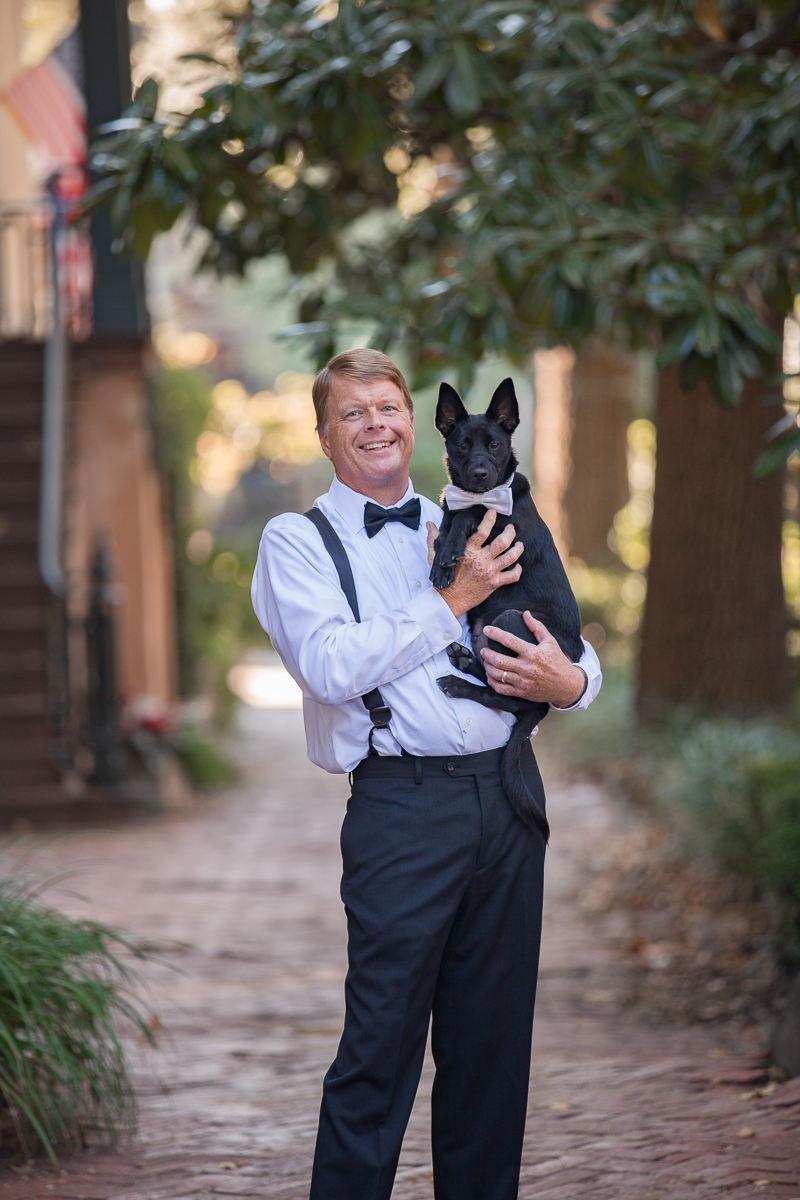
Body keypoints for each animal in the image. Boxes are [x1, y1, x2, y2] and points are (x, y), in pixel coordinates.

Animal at [431, 379, 582, 840]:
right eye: (463, 445)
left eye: (495, 445)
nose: (480, 475)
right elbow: (451, 515)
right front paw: (440, 552)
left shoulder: (504, 526)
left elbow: (470, 515)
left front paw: (446, 557)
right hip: (487, 627)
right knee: (499, 680)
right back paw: (464, 661)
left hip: (508, 619)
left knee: (510, 697)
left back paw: (460, 683)